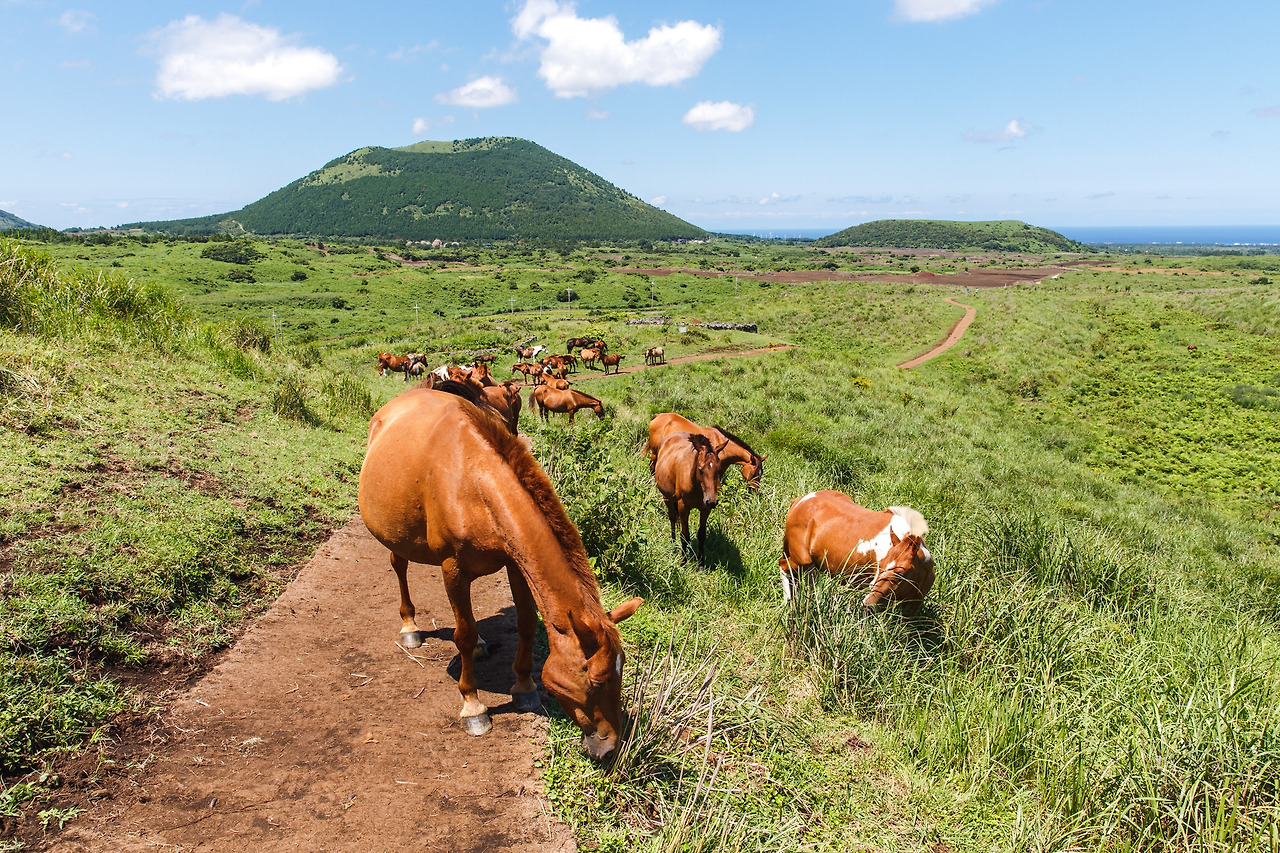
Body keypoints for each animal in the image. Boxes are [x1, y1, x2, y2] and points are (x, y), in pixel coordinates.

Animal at [358, 384, 640, 758]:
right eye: (596, 680)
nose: (610, 749)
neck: (474, 482)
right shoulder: (453, 569)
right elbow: (462, 635)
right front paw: (473, 707)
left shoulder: (515, 564)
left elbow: (525, 622)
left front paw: (524, 686)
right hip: (395, 534)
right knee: (399, 566)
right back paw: (410, 627)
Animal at [660, 432, 732, 563]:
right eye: (700, 469)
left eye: (719, 470)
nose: (712, 501)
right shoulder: (683, 507)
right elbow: (684, 535)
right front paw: (683, 561)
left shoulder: (705, 509)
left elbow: (701, 535)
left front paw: (701, 563)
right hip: (667, 498)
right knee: (672, 519)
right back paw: (673, 546)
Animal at [773, 489, 936, 614]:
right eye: (881, 565)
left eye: (901, 573)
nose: (868, 604)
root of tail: (801, 500)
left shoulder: (911, 606)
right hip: (801, 561)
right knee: (784, 568)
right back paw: (788, 603)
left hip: (813, 565)